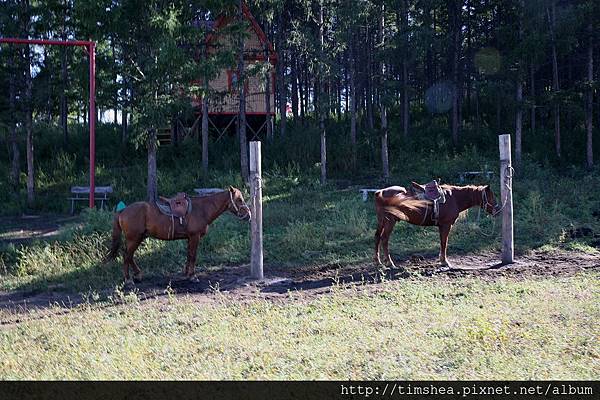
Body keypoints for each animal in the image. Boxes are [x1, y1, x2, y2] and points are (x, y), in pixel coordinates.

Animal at [104, 187, 250, 282]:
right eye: (239, 200)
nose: (248, 215)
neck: (201, 209)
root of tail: (122, 211)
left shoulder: (190, 238)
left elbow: (189, 255)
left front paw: (187, 274)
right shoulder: (195, 237)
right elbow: (193, 256)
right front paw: (192, 276)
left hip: (138, 238)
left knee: (130, 256)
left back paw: (138, 275)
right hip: (134, 238)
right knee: (127, 255)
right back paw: (128, 279)